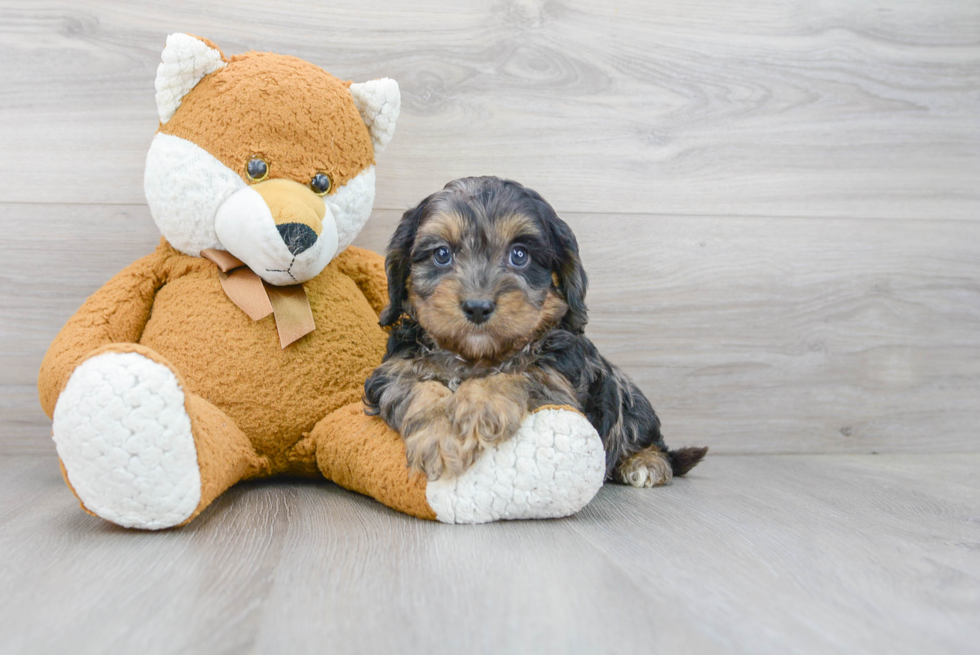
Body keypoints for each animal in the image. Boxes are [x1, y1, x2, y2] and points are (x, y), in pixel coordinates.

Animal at [364, 176, 708, 486]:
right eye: (441, 254)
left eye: (519, 255)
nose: (478, 306)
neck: (476, 356)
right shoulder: (392, 371)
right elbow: (417, 387)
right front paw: (439, 437)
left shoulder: (561, 383)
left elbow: (521, 372)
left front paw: (478, 406)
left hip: (629, 398)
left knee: (651, 440)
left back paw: (646, 464)